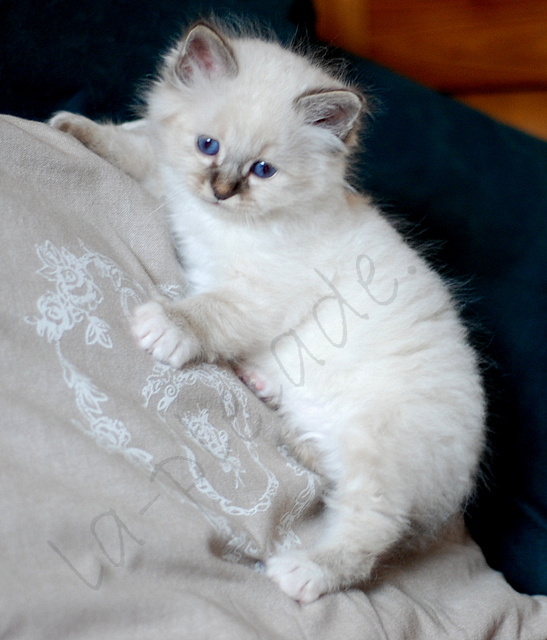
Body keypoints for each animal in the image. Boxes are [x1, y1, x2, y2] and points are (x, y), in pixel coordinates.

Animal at [51, 18, 486, 600]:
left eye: (263, 170)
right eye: (207, 146)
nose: (221, 190)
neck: (219, 220)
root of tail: (456, 487)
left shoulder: (262, 293)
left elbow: (208, 312)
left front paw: (166, 327)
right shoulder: (170, 185)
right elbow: (134, 150)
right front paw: (72, 127)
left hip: (377, 450)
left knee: (371, 530)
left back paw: (304, 572)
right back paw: (264, 392)